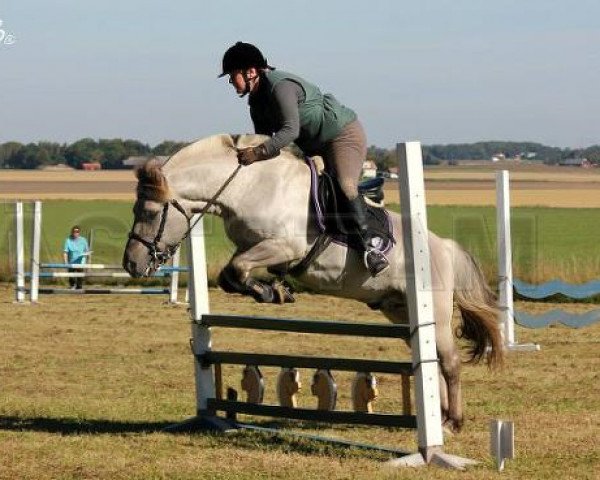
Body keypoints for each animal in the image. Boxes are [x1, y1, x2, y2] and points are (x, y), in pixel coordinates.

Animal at [124, 133, 504, 434]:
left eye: (150, 213)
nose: (132, 264)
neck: (248, 187)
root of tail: (442, 246)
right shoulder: (256, 249)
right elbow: (231, 276)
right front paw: (274, 291)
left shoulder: (284, 247)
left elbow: (236, 269)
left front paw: (272, 292)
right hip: (399, 309)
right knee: (433, 358)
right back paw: (438, 415)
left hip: (434, 308)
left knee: (449, 360)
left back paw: (452, 421)